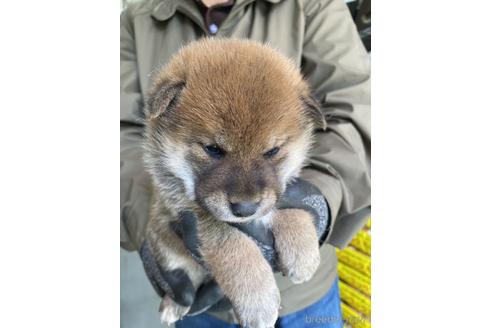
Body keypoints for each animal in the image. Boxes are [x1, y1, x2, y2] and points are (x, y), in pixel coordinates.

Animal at [142, 38, 326, 328]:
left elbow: (287, 205)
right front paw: (258, 299)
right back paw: (174, 304)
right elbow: (234, 247)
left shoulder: (280, 191)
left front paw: (303, 250)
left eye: (272, 151)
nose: (245, 209)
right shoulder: (190, 211)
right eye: (213, 149)